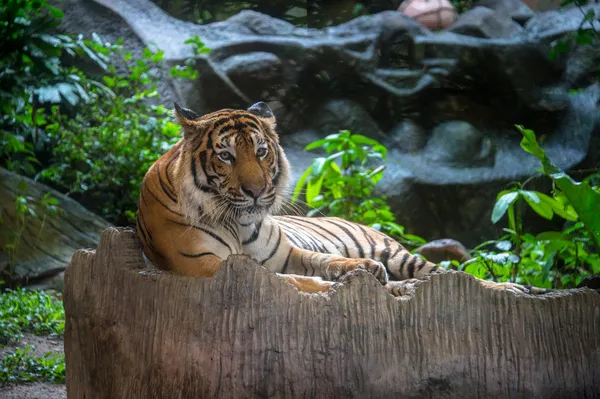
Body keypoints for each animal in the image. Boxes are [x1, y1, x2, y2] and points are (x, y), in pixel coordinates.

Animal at [137, 103, 548, 296]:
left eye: (261, 151)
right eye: (225, 156)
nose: (256, 191)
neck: (238, 222)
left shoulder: (285, 253)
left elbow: (318, 260)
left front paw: (361, 270)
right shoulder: (206, 266)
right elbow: (287, 279)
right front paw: (335, 284)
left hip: (401, 254)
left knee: (454, 275)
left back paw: (514, 288)